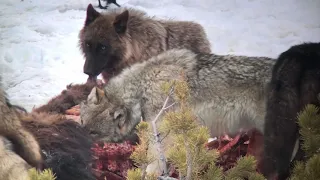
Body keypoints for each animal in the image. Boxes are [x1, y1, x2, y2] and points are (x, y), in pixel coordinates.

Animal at [79, 48, 276, 174]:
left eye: (93, 132)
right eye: (82, 122)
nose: (76, 141)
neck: (142, 89)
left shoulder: (162, 139)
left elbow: (152, 167)